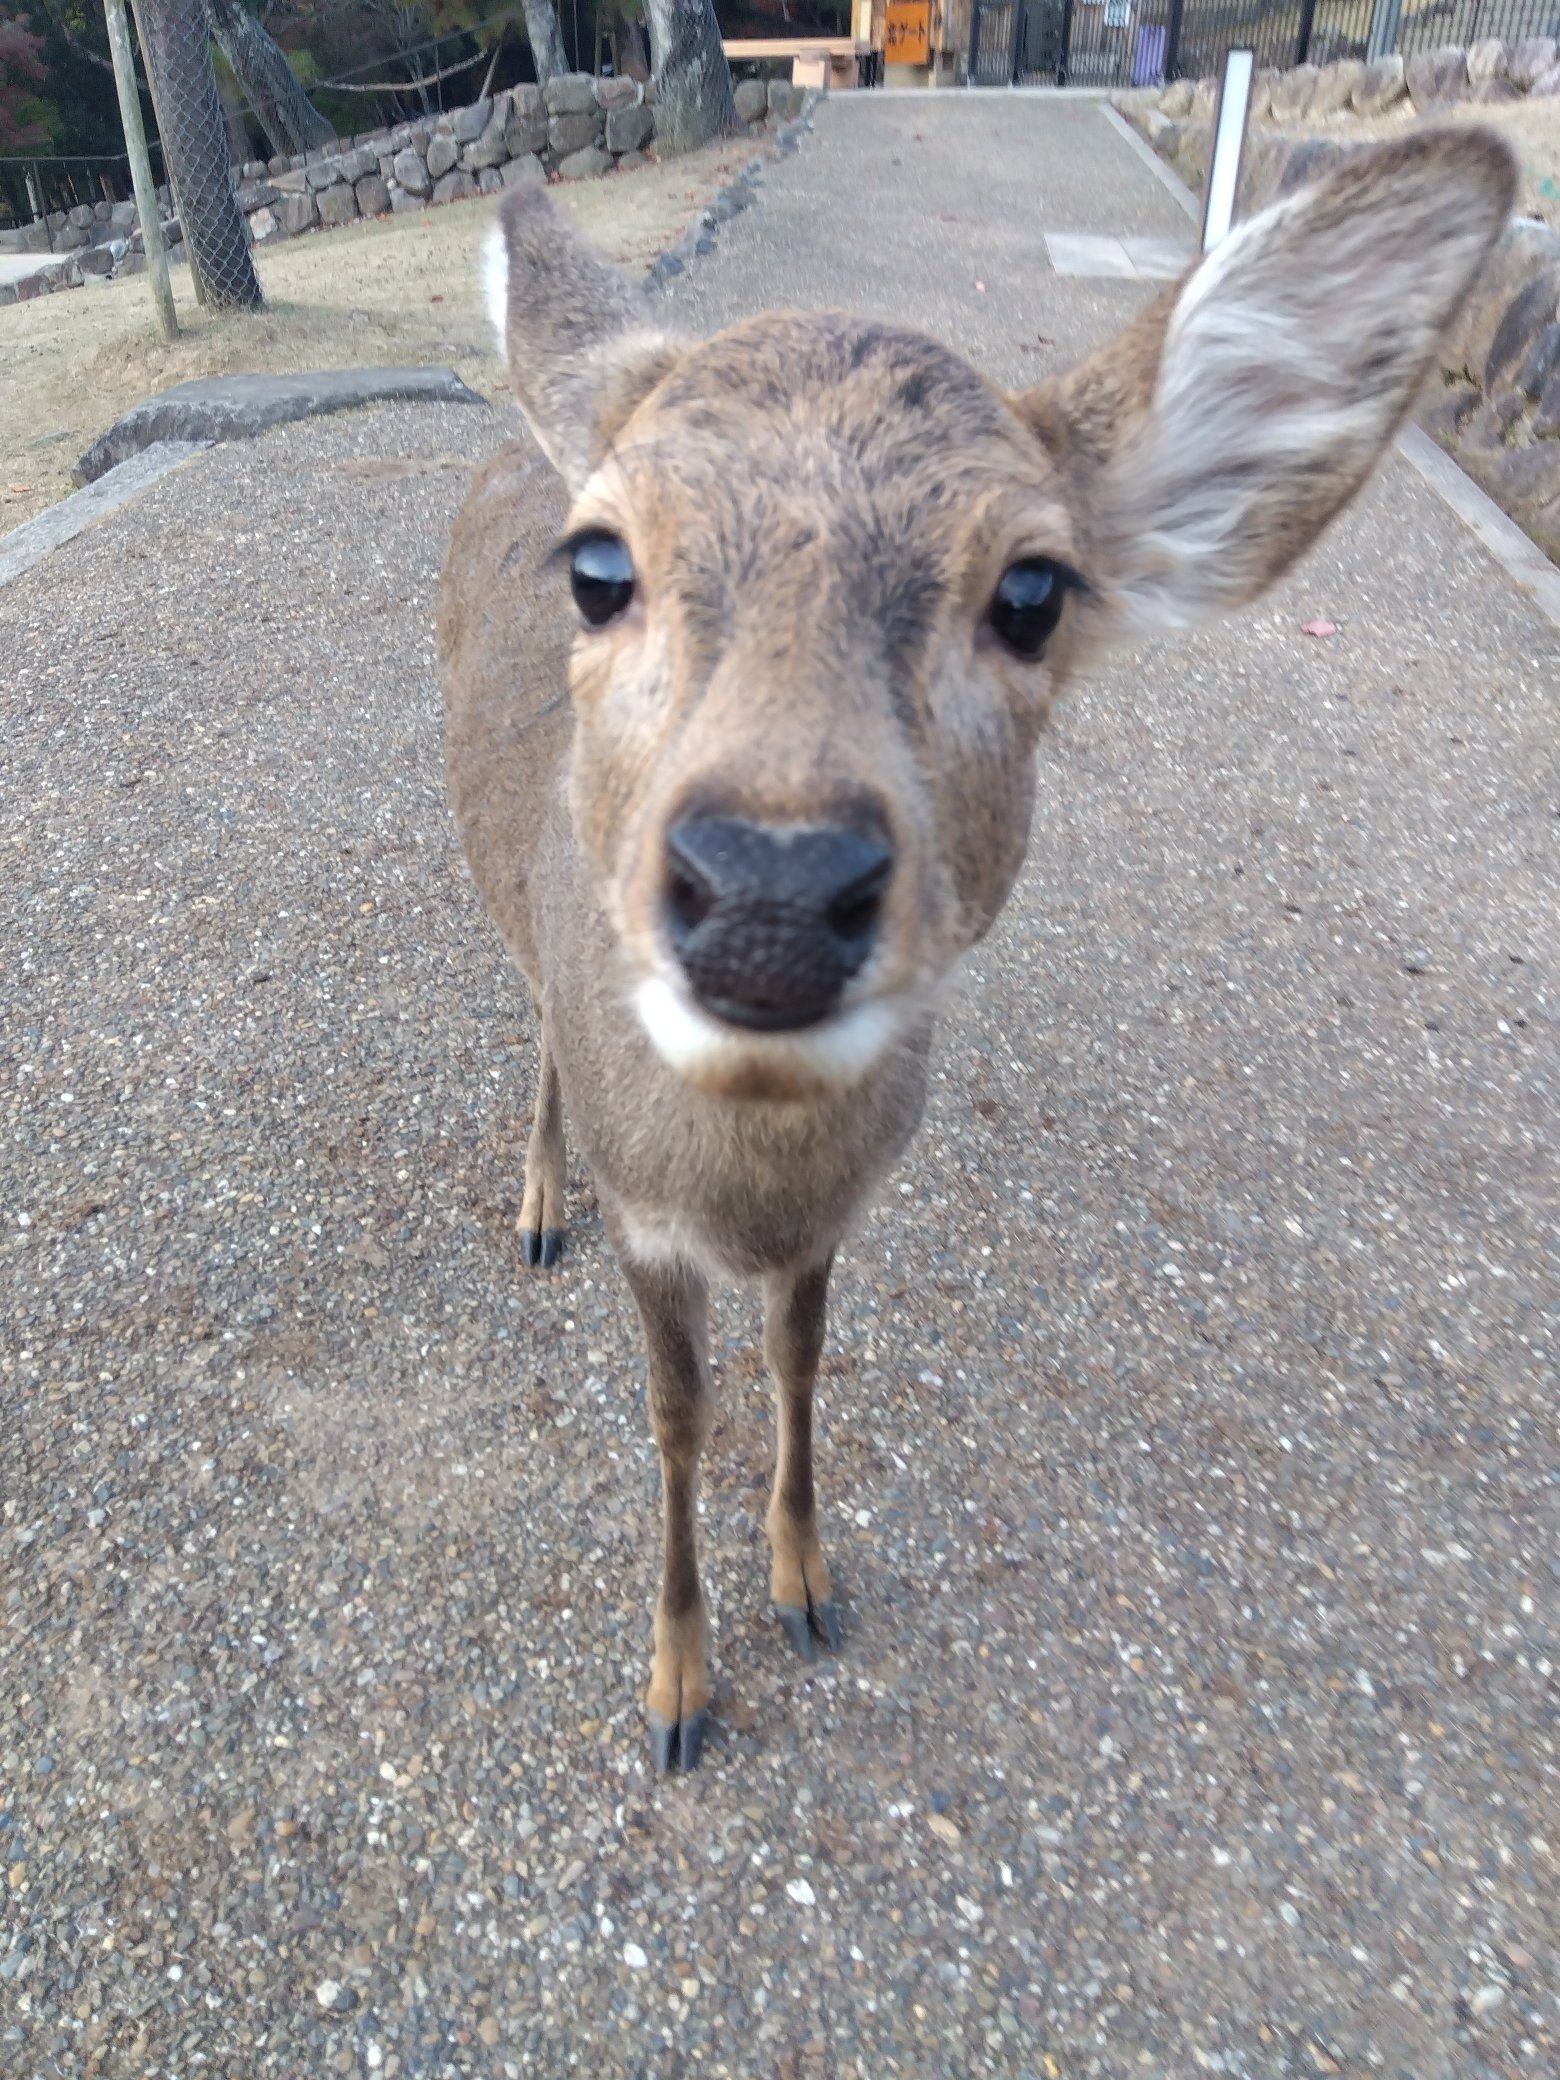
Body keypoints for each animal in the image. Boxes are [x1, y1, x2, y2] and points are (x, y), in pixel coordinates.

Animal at [437, 129, 1514, 1773]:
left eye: (1032, 589)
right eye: (599, 565)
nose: (770, 882)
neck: (743, 1188)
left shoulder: (837, 1218)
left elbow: (800, 1364)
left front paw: (808, 1581)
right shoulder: (653, 1226)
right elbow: (677, 1417)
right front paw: (677, 1688)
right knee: (543, 1018)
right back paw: (537, 1201)